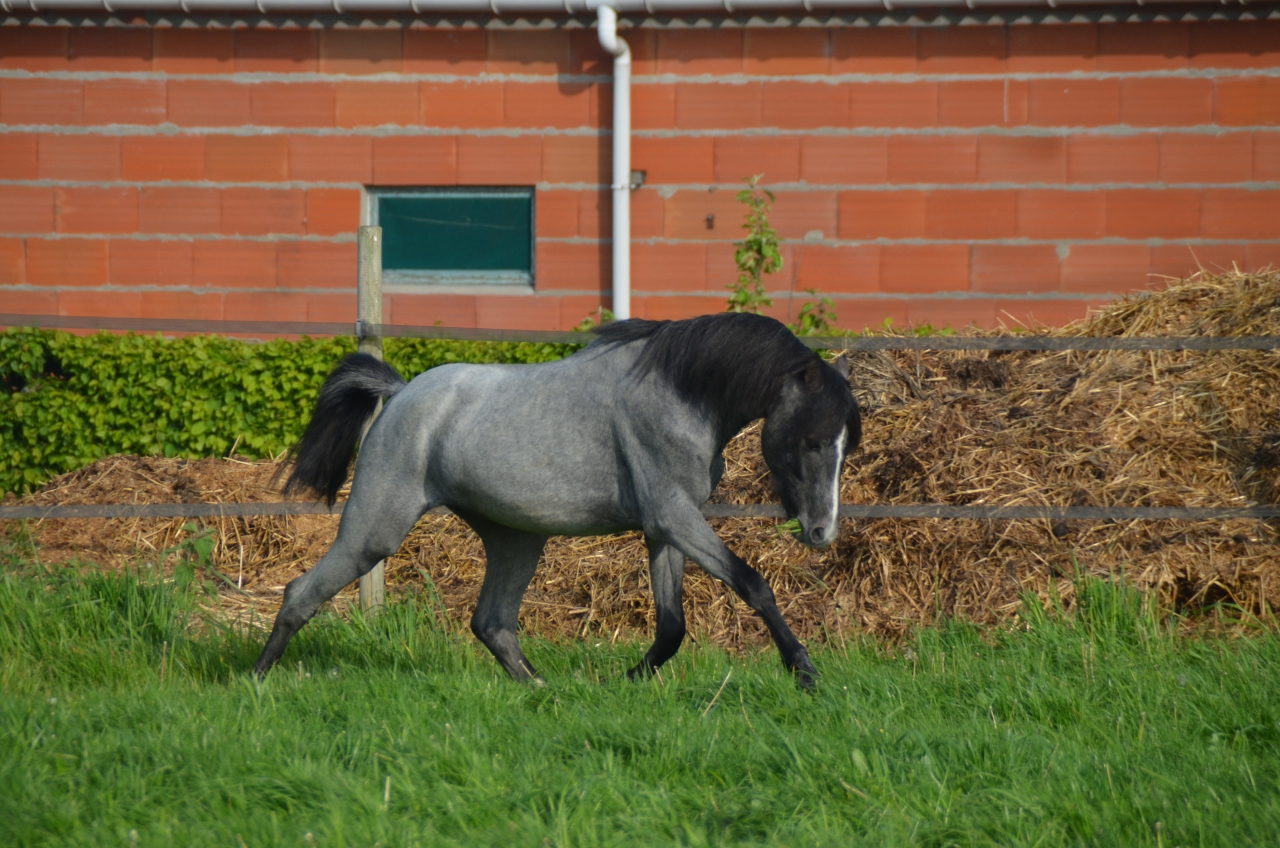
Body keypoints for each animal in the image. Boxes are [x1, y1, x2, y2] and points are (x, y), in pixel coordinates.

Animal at [253, 312, 861, 688]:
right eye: (811, 440)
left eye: (845, 443)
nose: (822, 532)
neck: (681, 392)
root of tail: (400, 394)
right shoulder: (674, 517)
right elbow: (753, 584)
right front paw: (805, 673)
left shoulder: (665, 527)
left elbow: (671, 626)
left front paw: (626, 681)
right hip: (375, 528)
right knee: (301, 593)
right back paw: (257, 680)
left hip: (516, 539)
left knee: (492, 623)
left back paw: (542, 688)